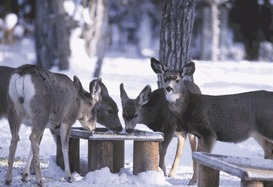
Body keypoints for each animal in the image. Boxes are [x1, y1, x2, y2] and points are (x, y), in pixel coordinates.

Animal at [150, 57, 273, 186]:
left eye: (178, 80)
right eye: (165, 78)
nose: (169, 88)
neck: (189, 107)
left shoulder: (208, 132)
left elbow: (202, 159)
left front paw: (194, 181)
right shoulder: (199, 135)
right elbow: (197, 156)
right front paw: (193, 181)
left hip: (267, 127)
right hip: (257, 133)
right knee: (268, 150)